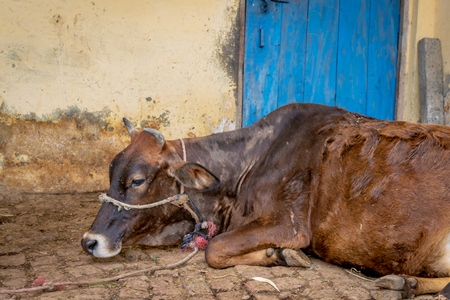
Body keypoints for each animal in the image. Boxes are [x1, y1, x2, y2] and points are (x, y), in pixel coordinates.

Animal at [81, 103, 450, 298]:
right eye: (110, 172)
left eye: (137, 180)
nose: (89, 241)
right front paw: (281, 255)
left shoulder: (290, 225)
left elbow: (214, 251)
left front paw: (281, 255)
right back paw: (405, 281)